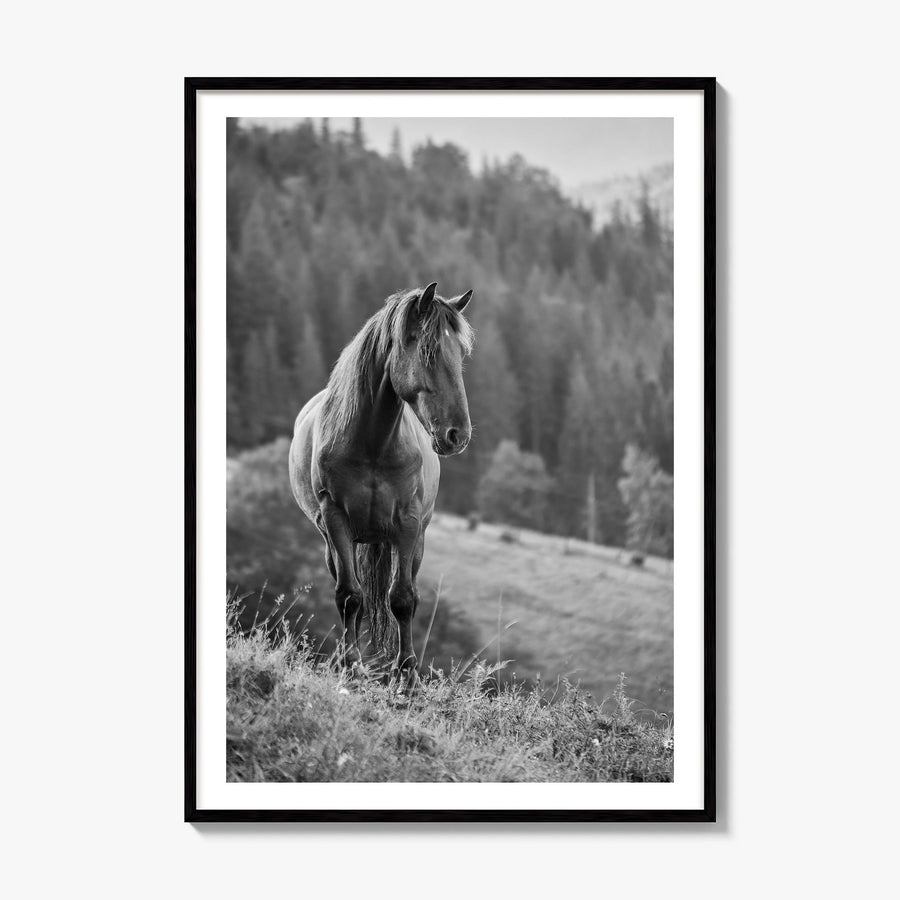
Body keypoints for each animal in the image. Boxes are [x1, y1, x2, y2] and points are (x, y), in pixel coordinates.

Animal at [289, 282, 474, 686]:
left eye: (461, 354)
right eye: (429, 350)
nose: (458, 435)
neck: (372, 443)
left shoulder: (408, 524)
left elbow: (402, 599)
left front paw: (407, 674)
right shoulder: (336, 520)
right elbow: (350, 596)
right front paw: (351, 665)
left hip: (413, 541)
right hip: (334, 543)